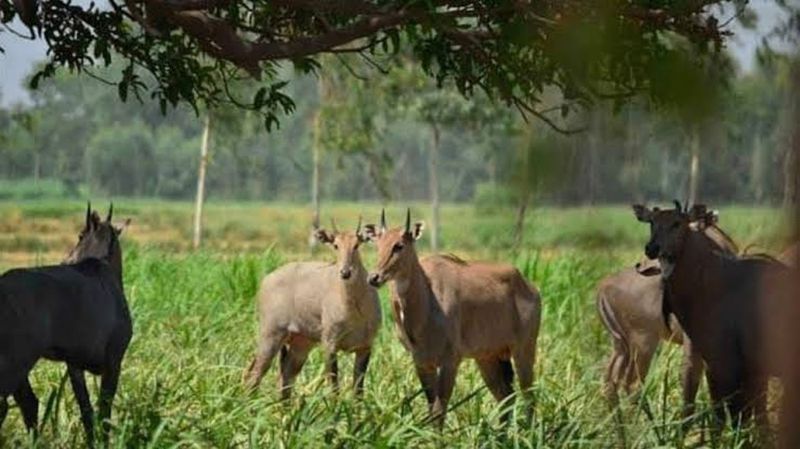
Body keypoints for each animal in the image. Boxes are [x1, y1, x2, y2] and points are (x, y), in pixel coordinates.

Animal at [0, 203, 132, 447]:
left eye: (79, 235)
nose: (65, 260)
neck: (100, 263)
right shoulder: (114, 361)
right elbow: (104, 412)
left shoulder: (74, 365)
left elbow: (87, 411)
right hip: (14, 361)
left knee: (28, 403)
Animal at [243, 218, 381, 399]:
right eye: (335, 245)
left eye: (357, 244)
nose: (345, 272)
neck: (355, 307)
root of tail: (267, 280)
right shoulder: (329, 344)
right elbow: (333, 384)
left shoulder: (365, 347)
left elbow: (358, 389)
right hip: (271, 335)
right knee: (255, 373)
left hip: (301, 343)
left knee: (285, 377)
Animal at [364, 209, 541, 427]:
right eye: (377, 244)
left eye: (399, 245)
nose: (374, 277)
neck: (427, 298)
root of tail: (528, 285)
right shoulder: (422, 362)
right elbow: (431, 408)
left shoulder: (450, 360)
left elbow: (440, 410)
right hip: (488, 357)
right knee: (505, 396)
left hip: (524, 349)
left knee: (528, 394)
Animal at [597, 206, 739, 420]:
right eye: (652, 224)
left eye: (677, 225)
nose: (644, 262)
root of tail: (603, 288)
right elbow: (690, 384)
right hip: (643, 341)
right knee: (632, 383)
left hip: (621, 344)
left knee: (610, 380)